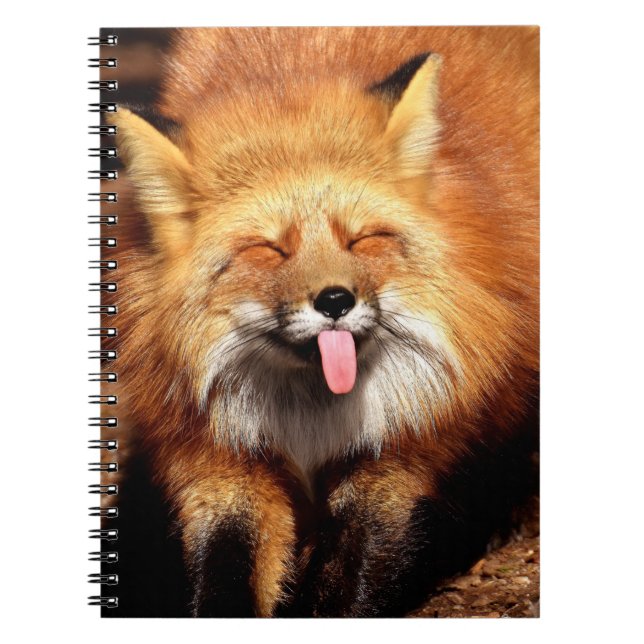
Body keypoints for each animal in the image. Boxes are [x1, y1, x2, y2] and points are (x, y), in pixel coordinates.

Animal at [103, 26, 539, 617]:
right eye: (269, 249)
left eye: (362, 239)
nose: (335, 300)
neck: (310, 420)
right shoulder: (218, 460)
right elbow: (225, 568)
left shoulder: (400, 453)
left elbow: (350, 577)